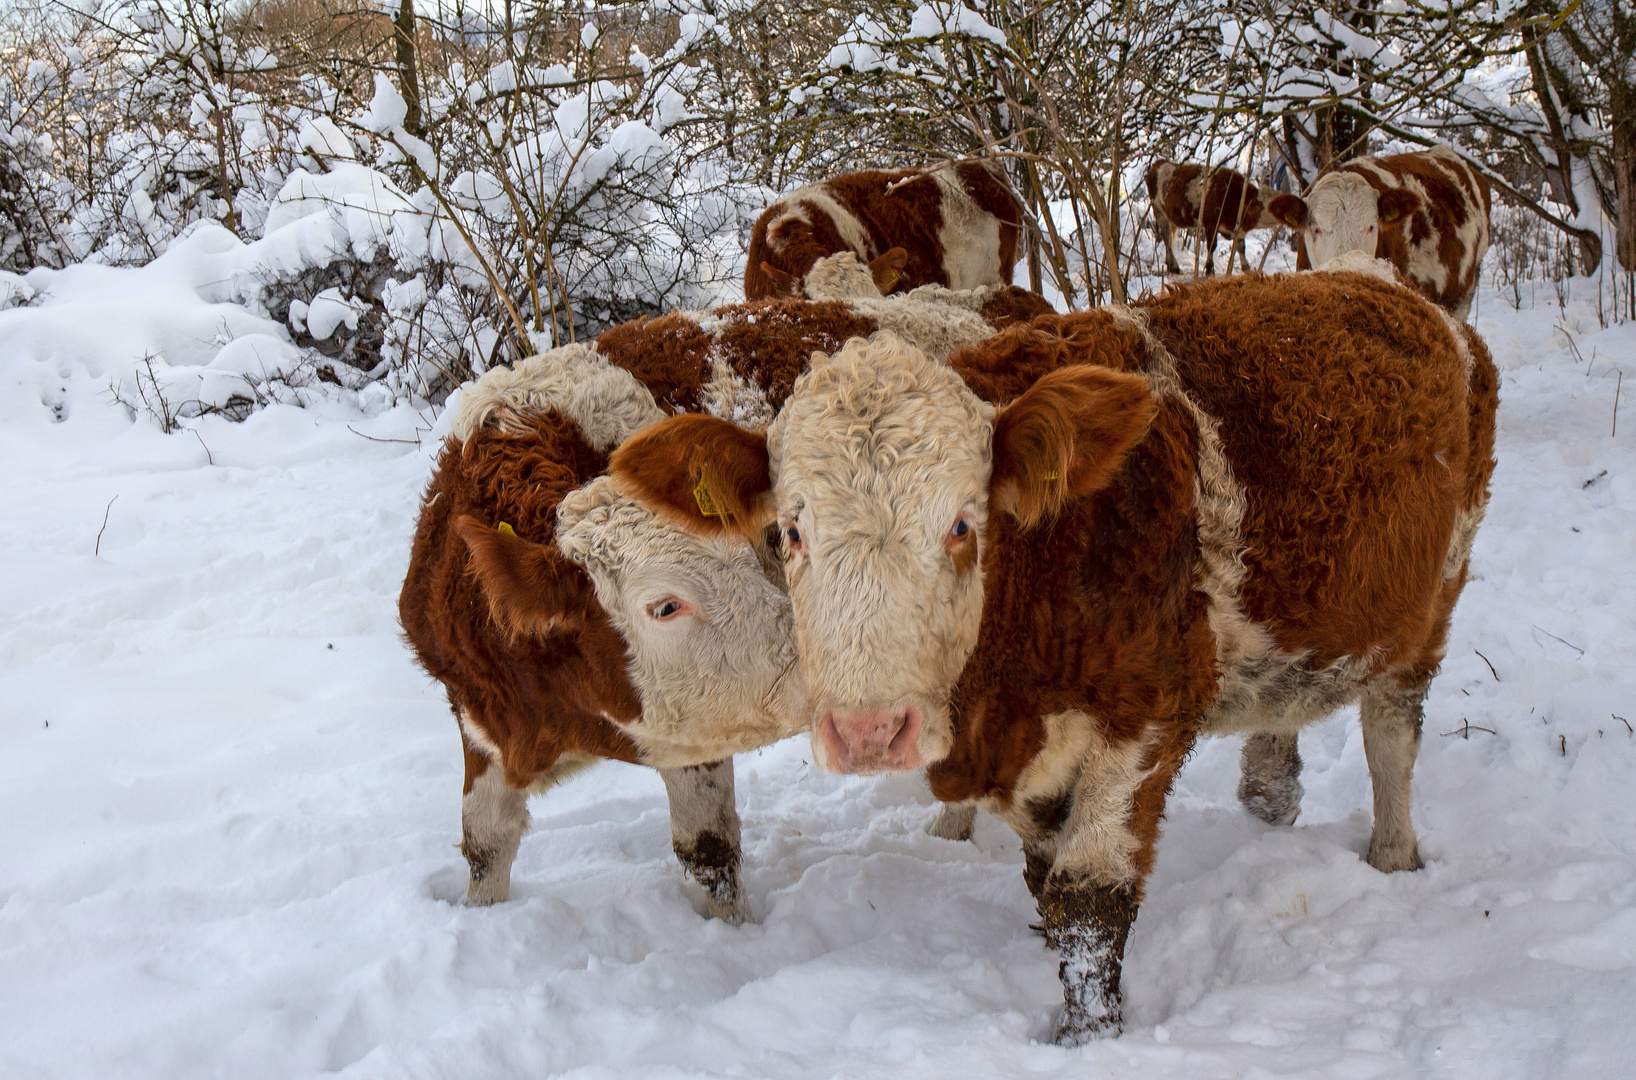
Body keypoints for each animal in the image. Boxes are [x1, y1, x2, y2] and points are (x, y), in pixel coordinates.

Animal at [611, 270, 1498, 1047]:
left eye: (963, 524)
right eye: (790, 531)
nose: (869, 732)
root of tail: (1397, 290)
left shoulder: (1146, 716)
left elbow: (1090, 897)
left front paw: (1091, 1037)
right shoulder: (1030, 759)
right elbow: (1047, 882)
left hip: (1432, 606)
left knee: (1391, 742)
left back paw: (1393, 857)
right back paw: (1270, 794)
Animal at [1145, 162, 1282, 278]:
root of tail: (1157, 164)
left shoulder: (1237, 229)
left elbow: (1241, 247)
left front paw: (1246, 268)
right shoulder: (1211, 223)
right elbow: (1212, 245)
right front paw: (1210, 270)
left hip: (1171, 218)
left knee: (1171, 237)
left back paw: (1169, 264)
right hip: (1158, 211)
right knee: (1167, 237)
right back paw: (1174, 266)